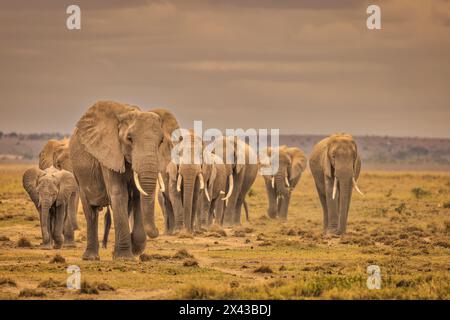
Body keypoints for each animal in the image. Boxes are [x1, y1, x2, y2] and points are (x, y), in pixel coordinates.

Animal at [69, 101, 177, 262]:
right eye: (129, 139)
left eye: (161, 141)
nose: (158, 230)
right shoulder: (109, 153)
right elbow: (119, 194)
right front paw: (125, 258)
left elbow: (137, 197)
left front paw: (134, 249)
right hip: (78, 174)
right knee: (90, 211)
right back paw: (91, 257)